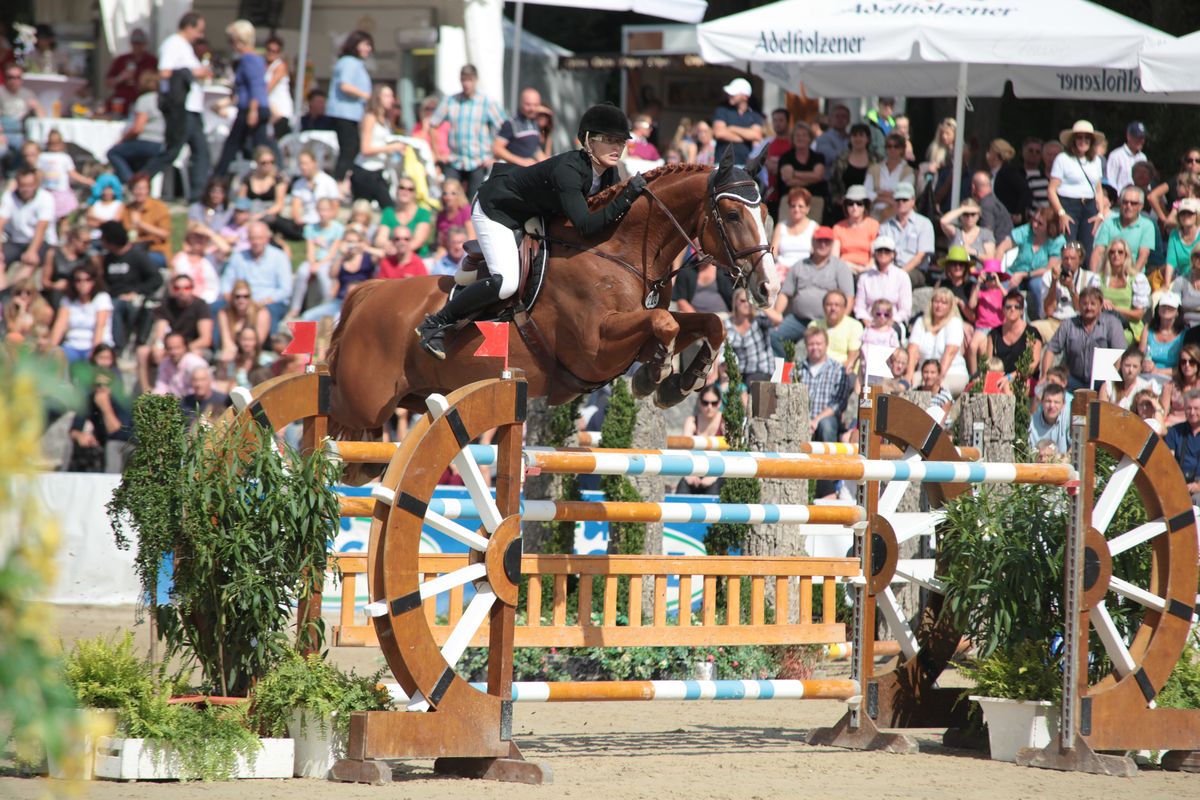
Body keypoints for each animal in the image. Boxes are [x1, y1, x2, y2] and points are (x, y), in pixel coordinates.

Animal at [326, 155, 777, 443]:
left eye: (767, 213)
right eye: (732, 215)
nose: (768, 289)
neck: (621, 251)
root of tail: (367, 293)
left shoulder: (637, 330)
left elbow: (706, 323)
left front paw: (683, 381)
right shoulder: (595, 348)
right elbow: (664, 324)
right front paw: (656, 374)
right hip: (362, 405)